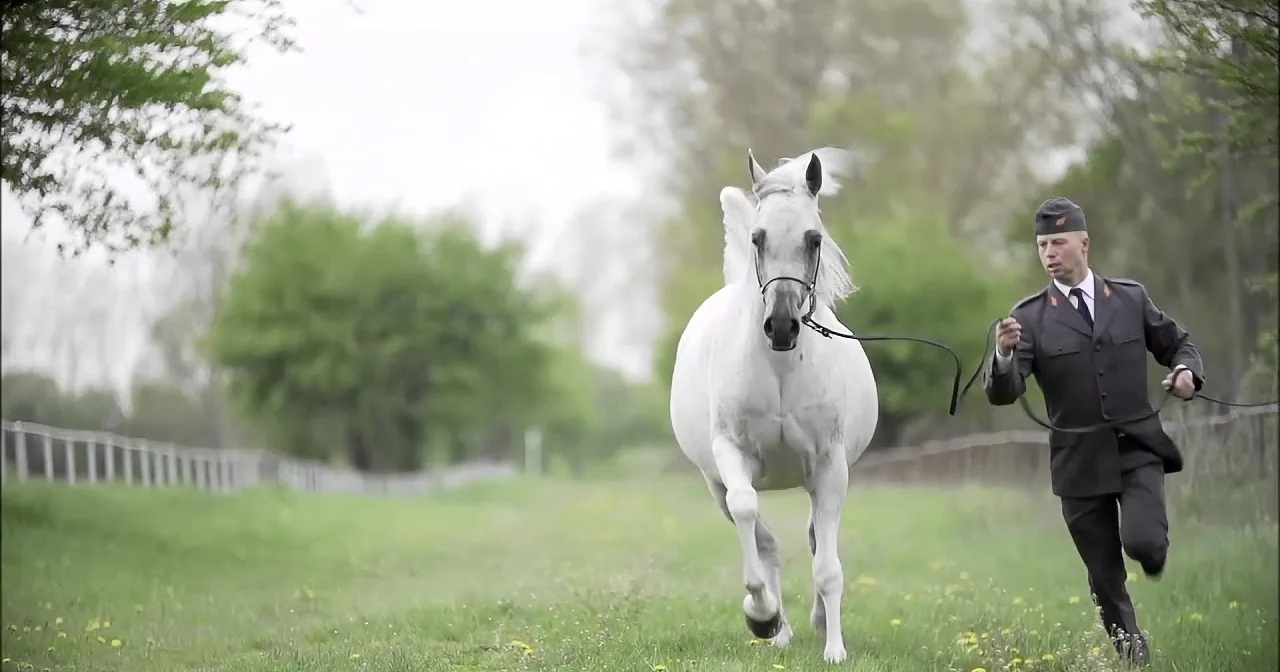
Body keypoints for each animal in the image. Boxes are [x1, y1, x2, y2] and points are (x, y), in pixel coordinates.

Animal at [668, 146, 878, 664]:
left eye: (813, 239)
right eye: (757, 238)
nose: (781, 326)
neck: (781, 369)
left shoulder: (830, 466)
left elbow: (827, 565)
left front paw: (834, 649)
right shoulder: (732, 457)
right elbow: (750, 519)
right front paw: (760, 616)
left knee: (814, 539)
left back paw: (816, 623)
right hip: (715, 484)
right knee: (766, 541)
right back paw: (777, 627)